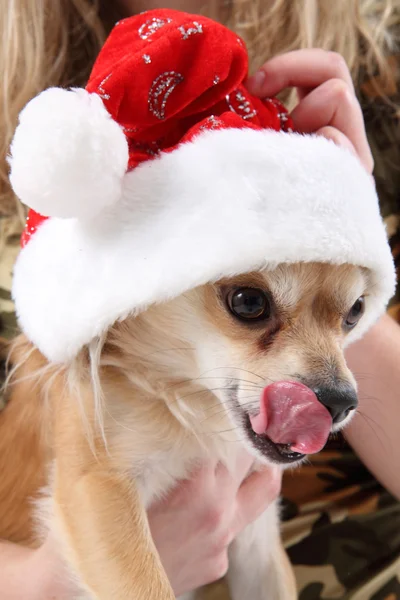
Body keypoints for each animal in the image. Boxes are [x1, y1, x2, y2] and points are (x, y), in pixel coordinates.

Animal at [0, 262, 366, 600]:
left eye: (356, 311)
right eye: (248, 302)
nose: (340, 402)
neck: (194, 404)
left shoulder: (256, 540)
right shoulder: (97, 485)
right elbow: (148, 589)